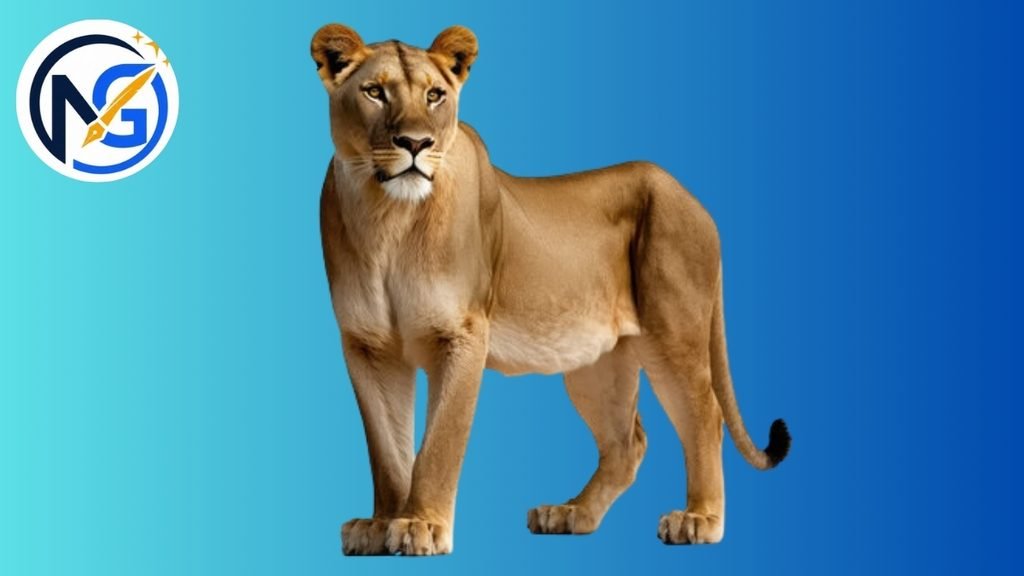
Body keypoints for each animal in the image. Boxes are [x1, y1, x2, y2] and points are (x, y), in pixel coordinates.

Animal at [311, 23, 790, 556]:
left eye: (435, 95)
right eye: (375, 92)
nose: (416, 143)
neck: (387, 218)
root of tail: (695, 201)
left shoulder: (462, 334)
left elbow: (440, 443)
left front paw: (421, 525)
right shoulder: (368, 346)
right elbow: (386, 448)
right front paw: (380, 524)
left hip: (673, 332)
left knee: (706, 414)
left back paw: (699, 518)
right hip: (597, 364)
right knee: (627, 443)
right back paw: (571, 513)